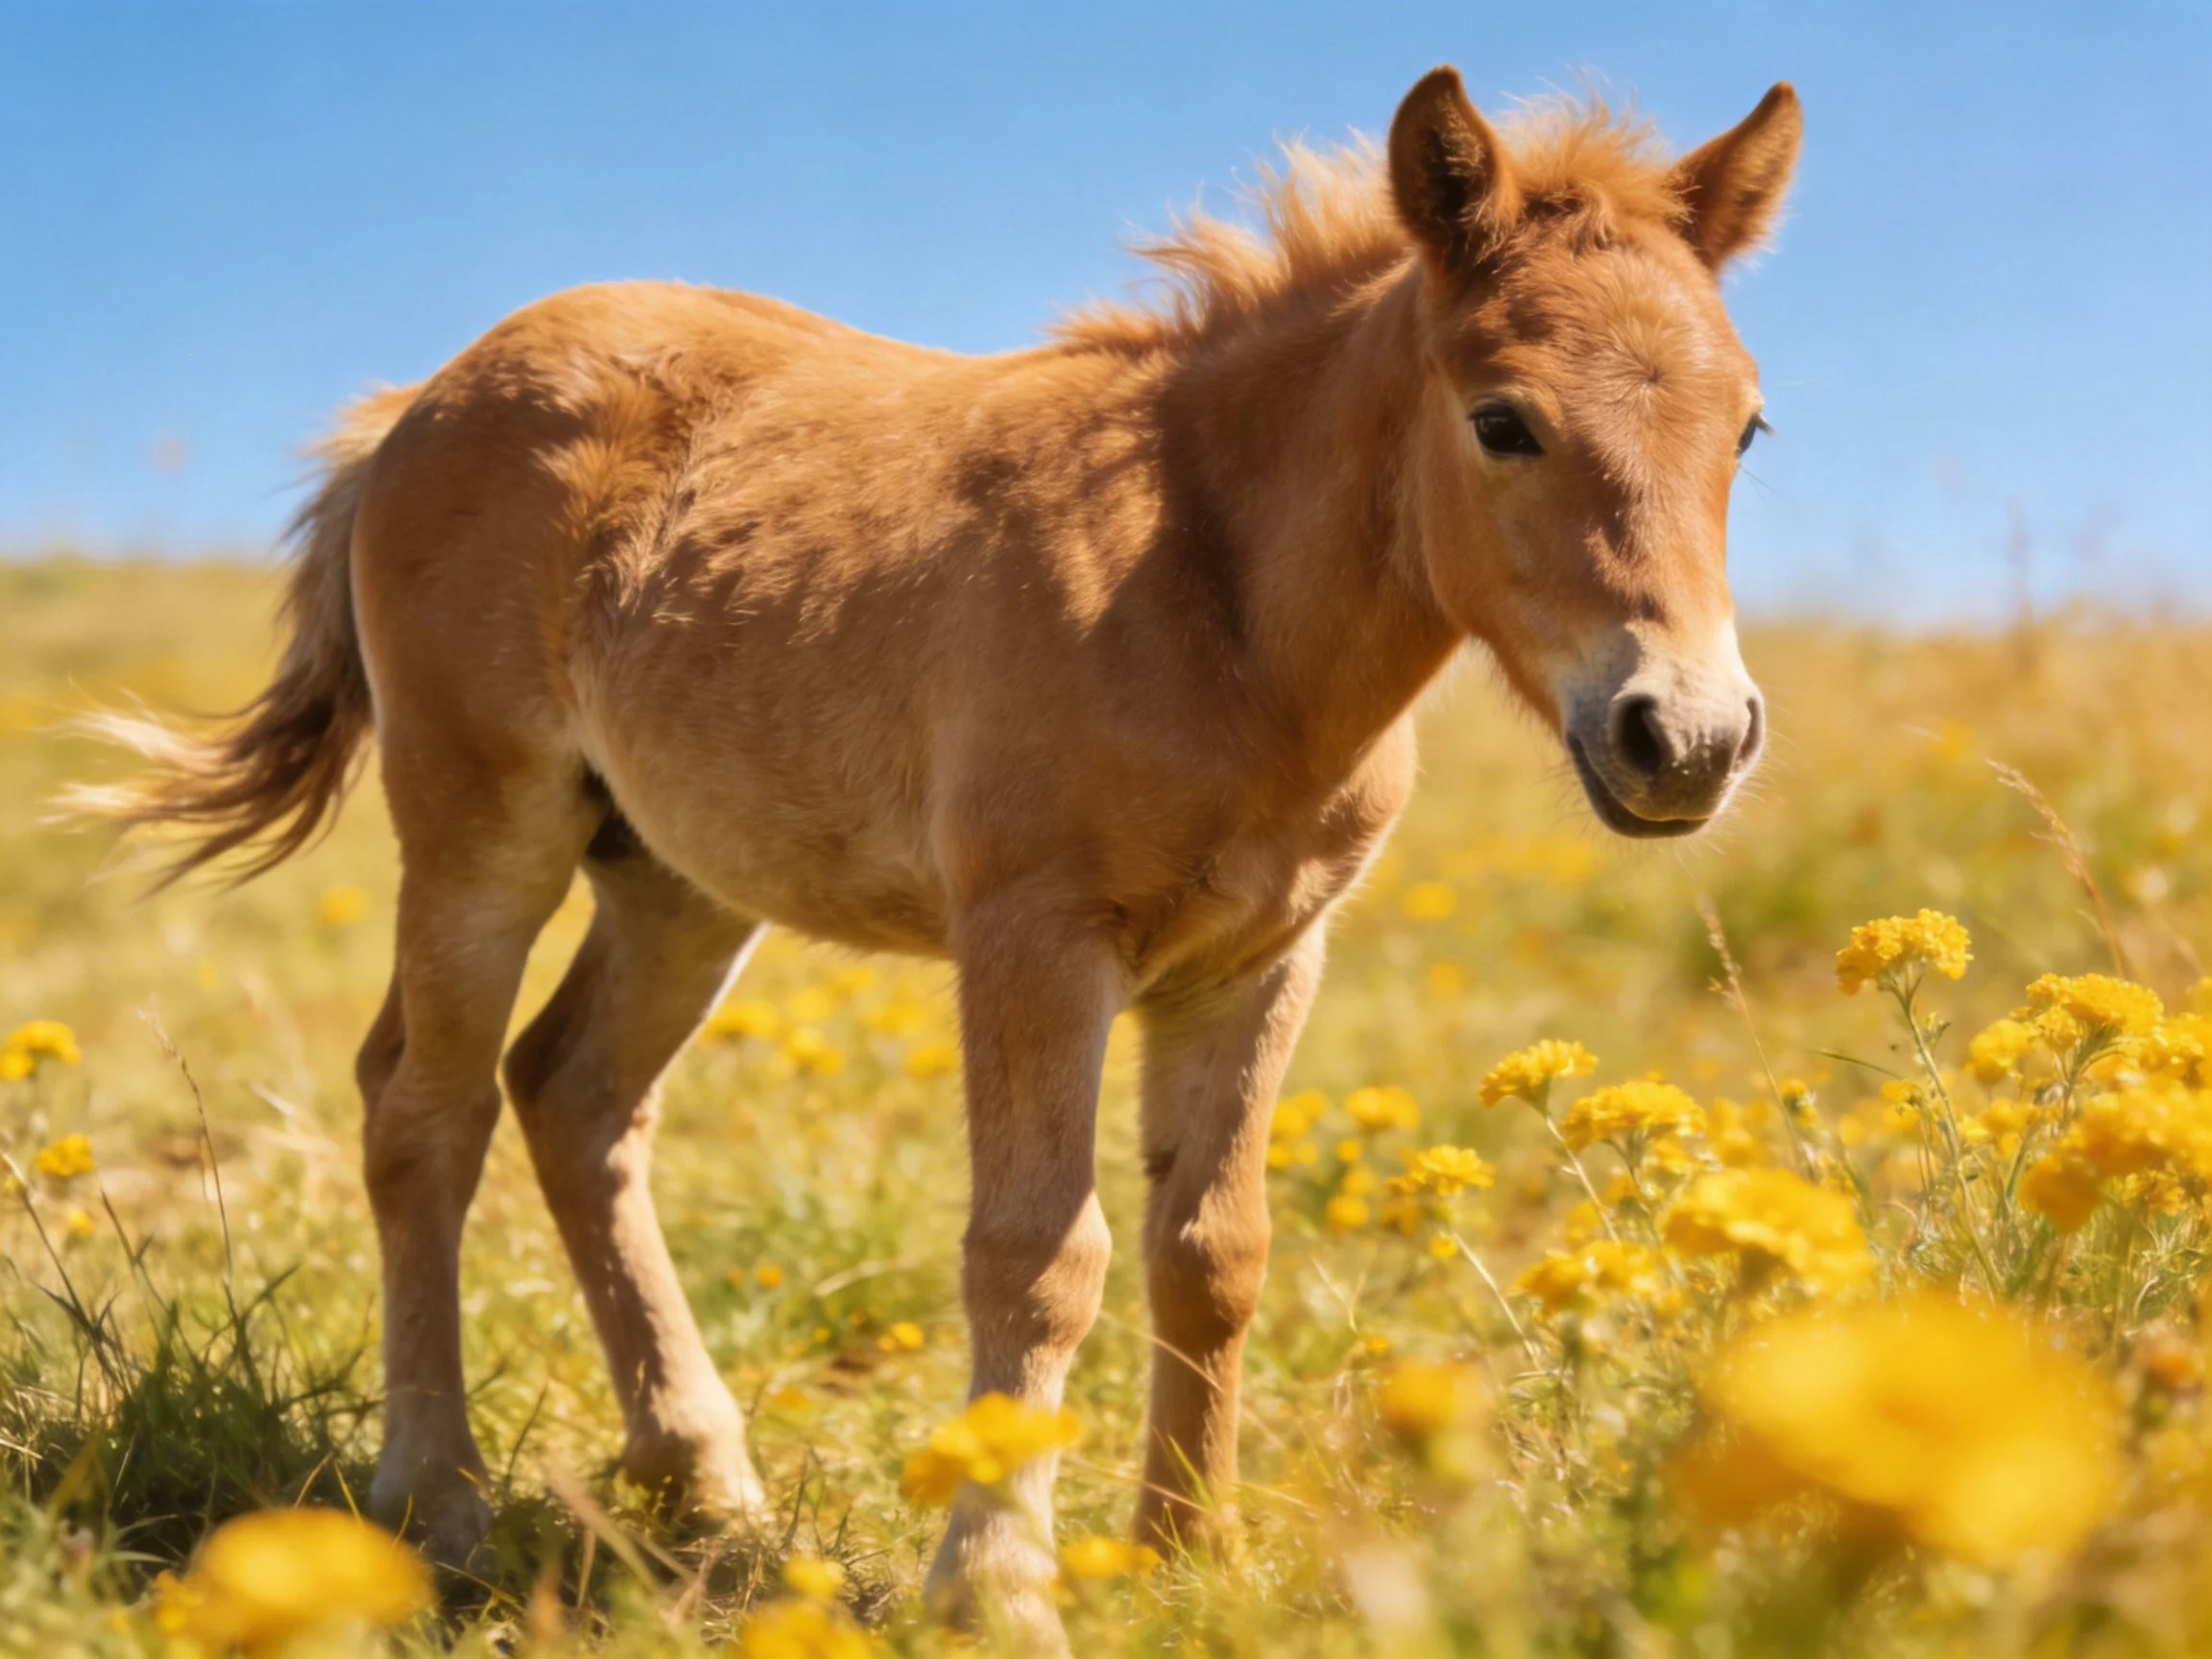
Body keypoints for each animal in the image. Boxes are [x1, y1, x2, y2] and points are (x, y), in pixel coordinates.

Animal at [76, 65, 1799, 1644]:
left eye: (1745, 427)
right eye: (1503, 422)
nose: (1688, 739)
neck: (1216, 605)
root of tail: (421, 401)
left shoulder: (1259, 957)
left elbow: (1212, 1250)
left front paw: (1189, 1559)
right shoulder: (1035, 935)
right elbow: (1038, 1251)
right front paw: (997, 1586)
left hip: (676, 875)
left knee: (571, 1092)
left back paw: (702, 1480)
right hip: (480, 820)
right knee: (422, 1110)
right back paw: (440, 1503)